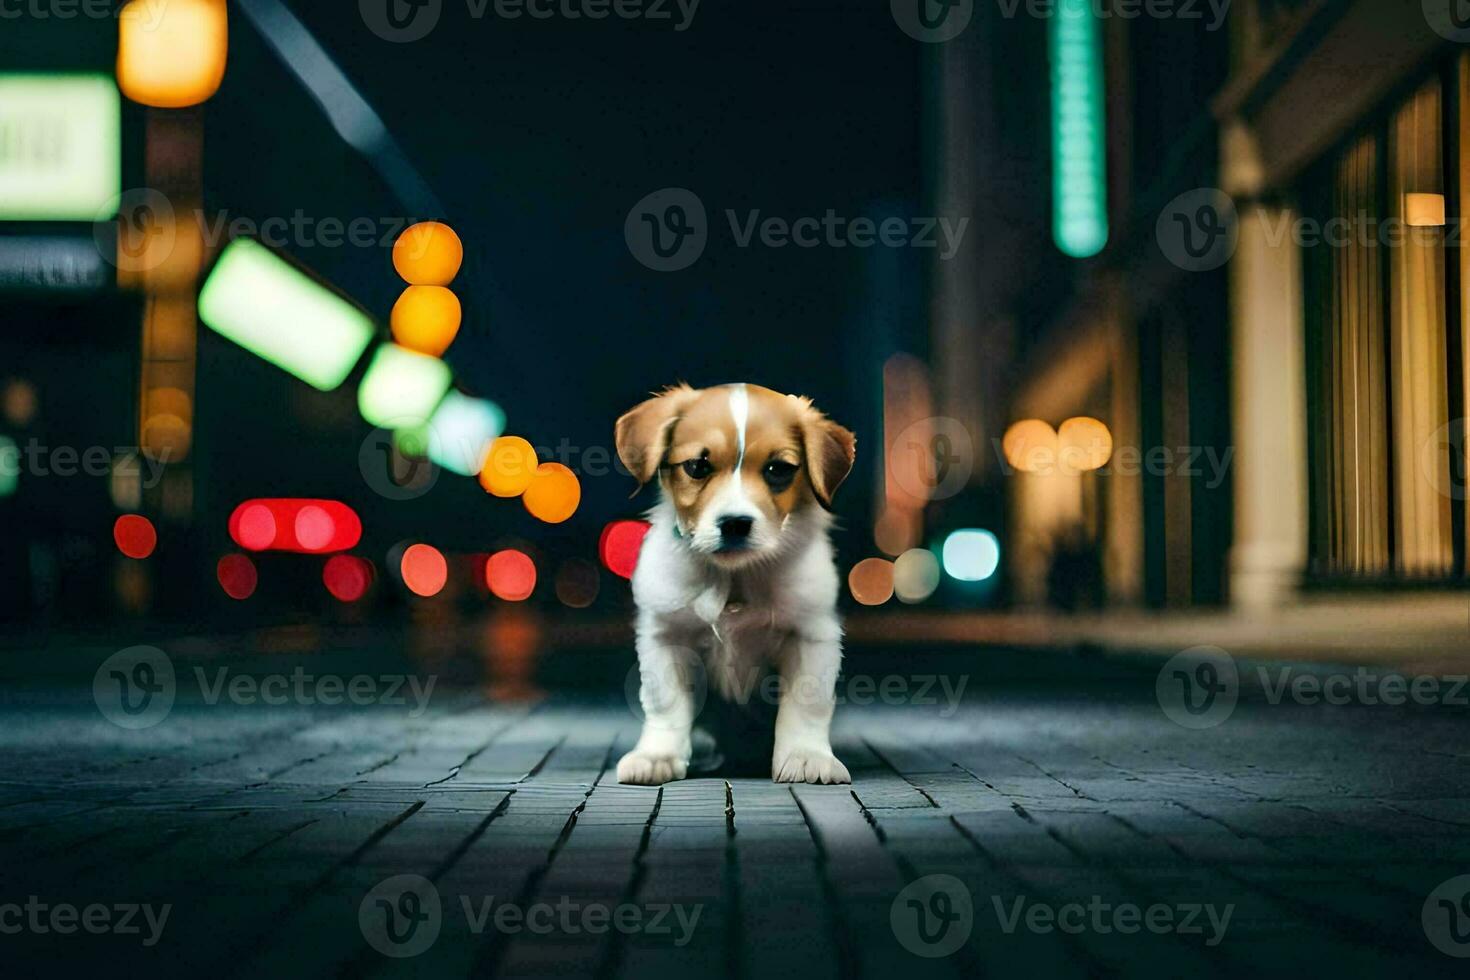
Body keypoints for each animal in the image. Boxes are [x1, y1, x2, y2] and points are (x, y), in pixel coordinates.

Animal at [614, 382, 858, 787]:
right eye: (697, 466)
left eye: (778, 470)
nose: (735, 523)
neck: (735, 576)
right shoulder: (665, 635)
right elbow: (666, 703)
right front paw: (657, 755)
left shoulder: (811, 634)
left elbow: (806, 703)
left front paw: (806, 756)